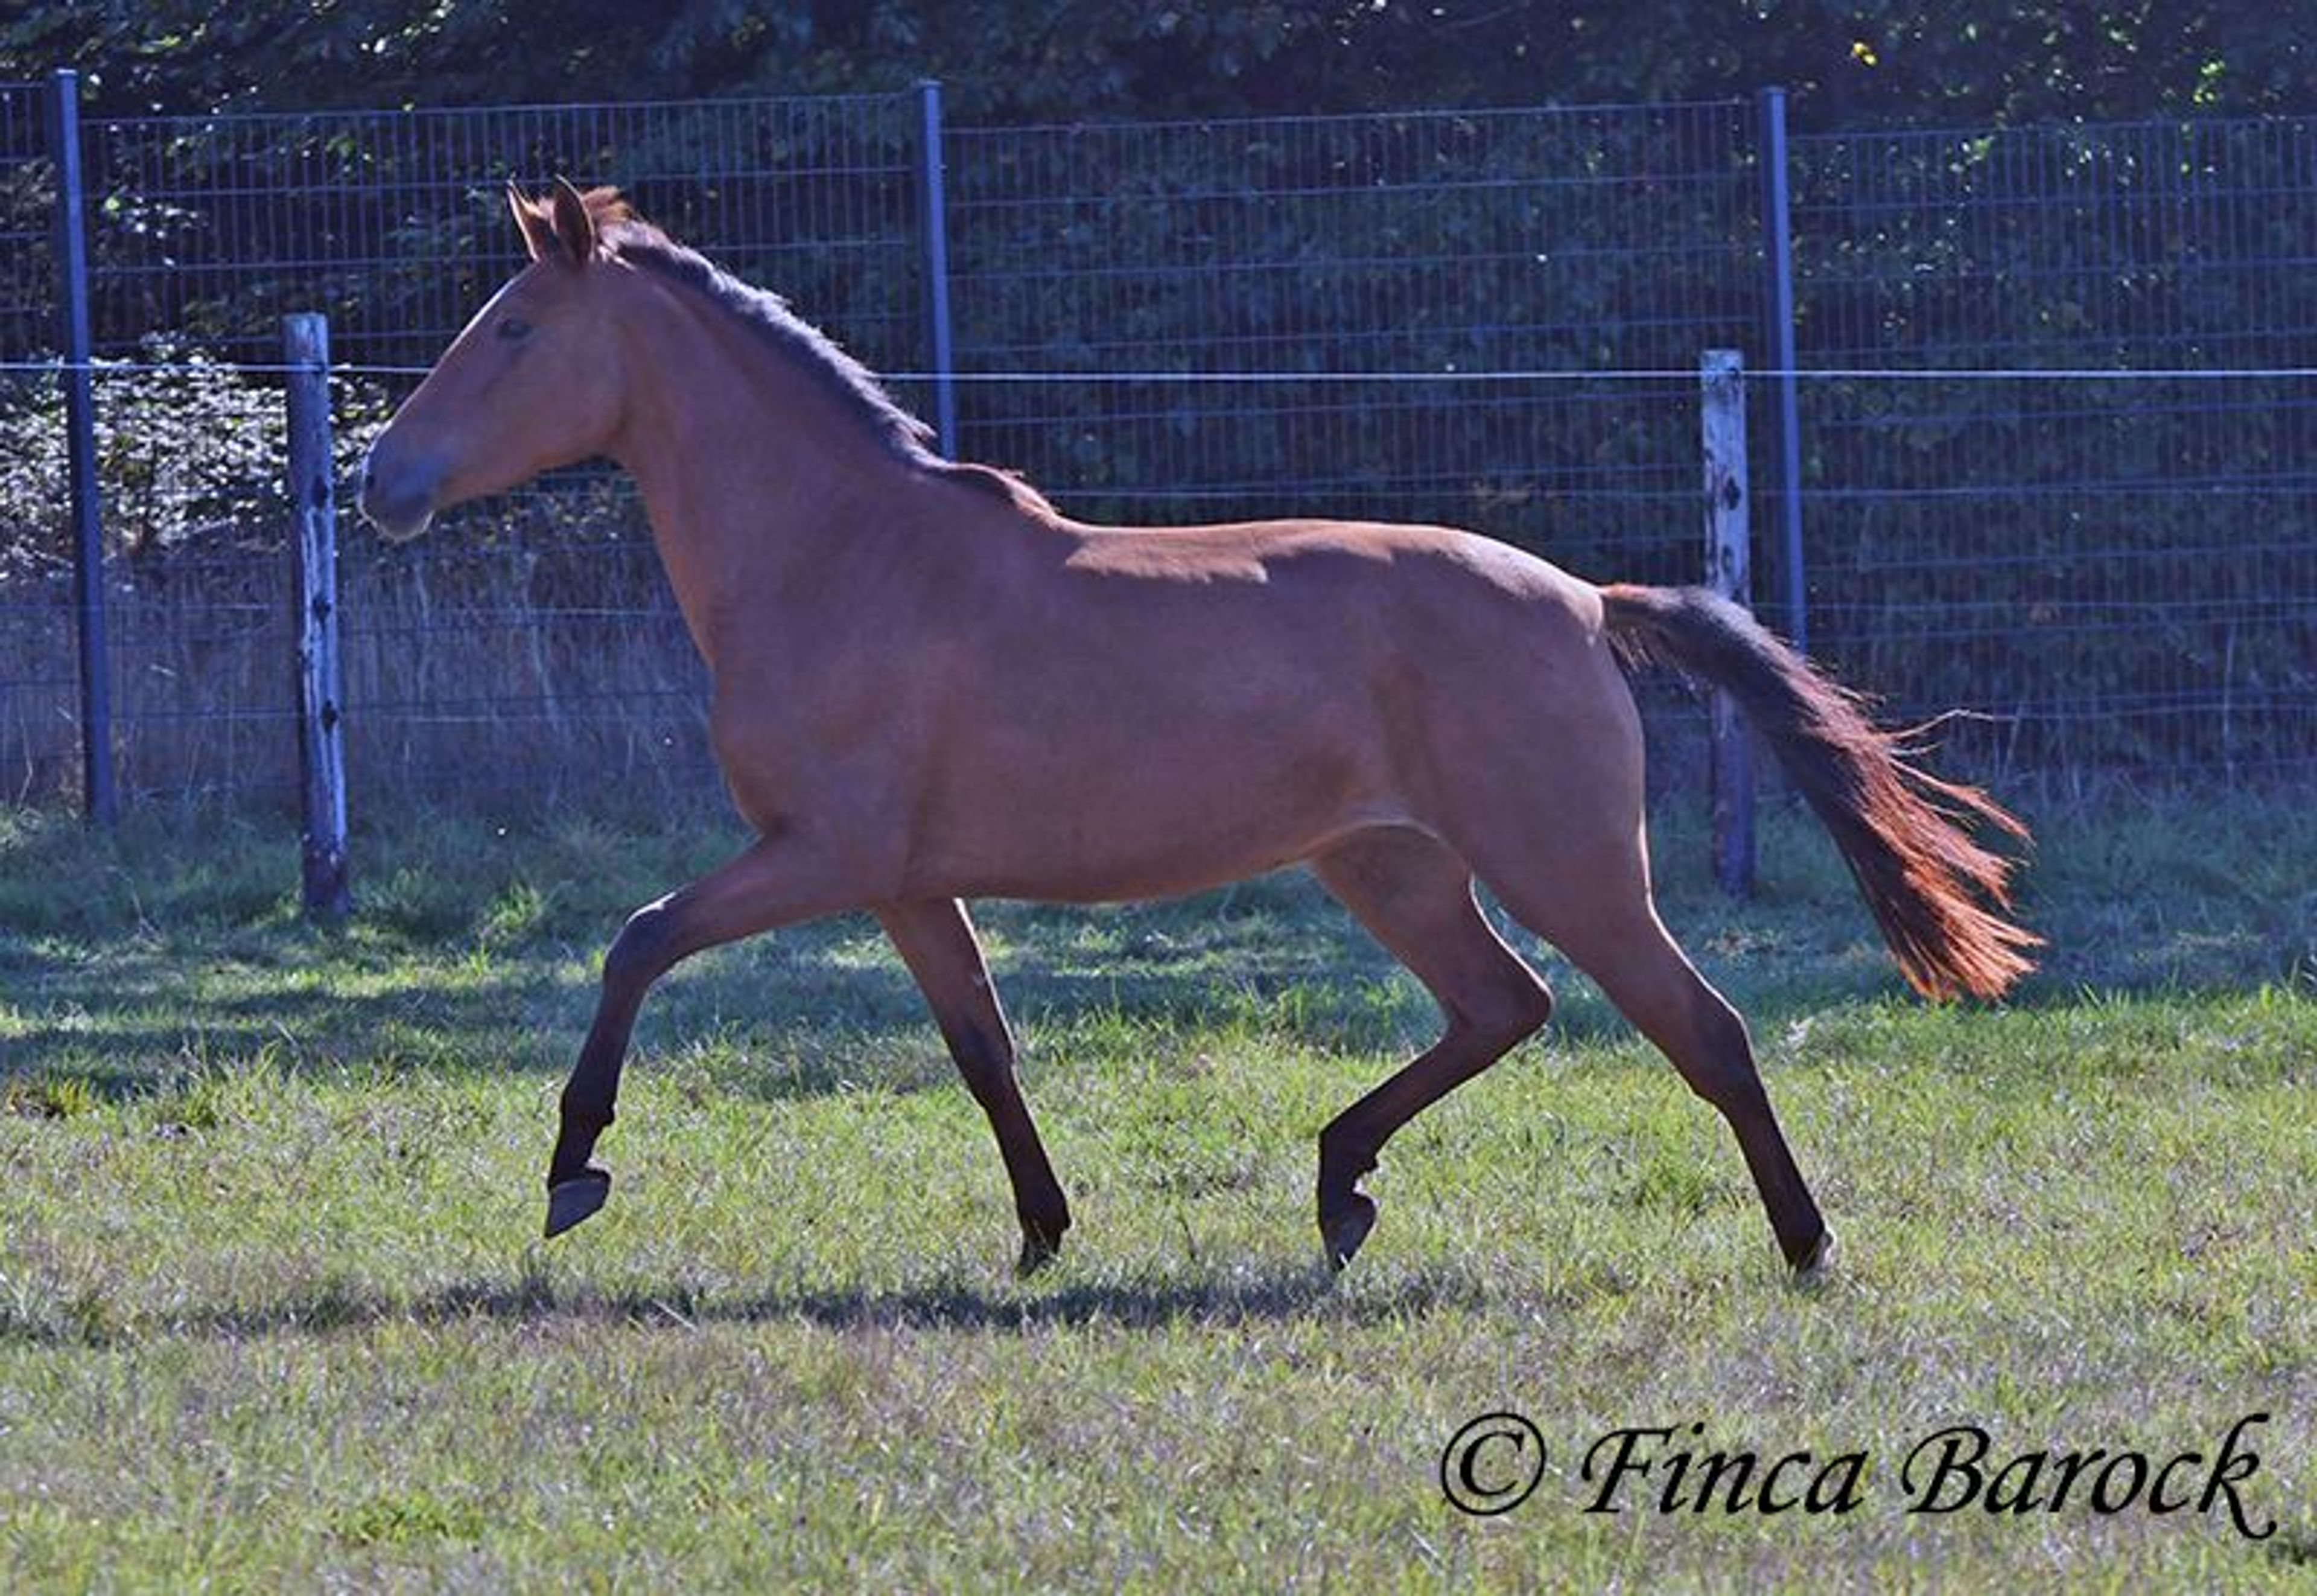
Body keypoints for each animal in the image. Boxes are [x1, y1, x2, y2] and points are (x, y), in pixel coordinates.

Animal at [360, 179, 2036, 1280]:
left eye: (514, 329)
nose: (383, 479)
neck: (842, 554)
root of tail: (1576, 596)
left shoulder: (819, 852)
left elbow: (637, 938)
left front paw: (574, 1167)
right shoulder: (904, 880)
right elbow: (983, 1046)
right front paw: (1042, 1233)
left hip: (1563, 864)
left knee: (1701, 1027)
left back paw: (1805, 1245)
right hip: (1393, 865)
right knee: (1504, 1006)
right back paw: (1340, 1186)